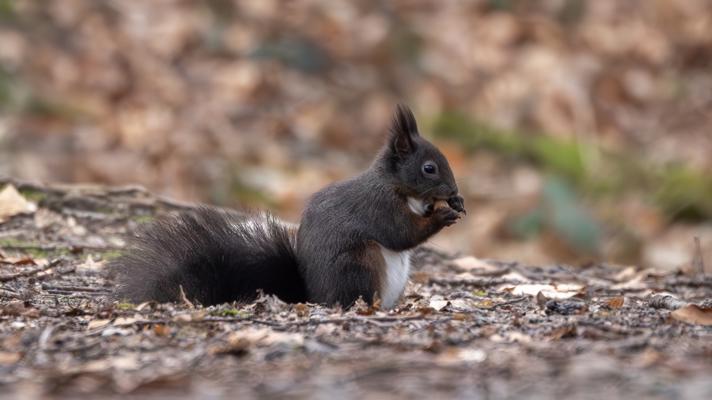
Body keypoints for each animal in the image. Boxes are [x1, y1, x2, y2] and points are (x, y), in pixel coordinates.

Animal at [113, 104, 464, 310]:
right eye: (429, 168)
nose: (454, 191)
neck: (400, 189)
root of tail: (314, 296)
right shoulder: (378, 206)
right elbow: (400, 233)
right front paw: (443, 214)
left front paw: (450, 206)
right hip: (359, 264)